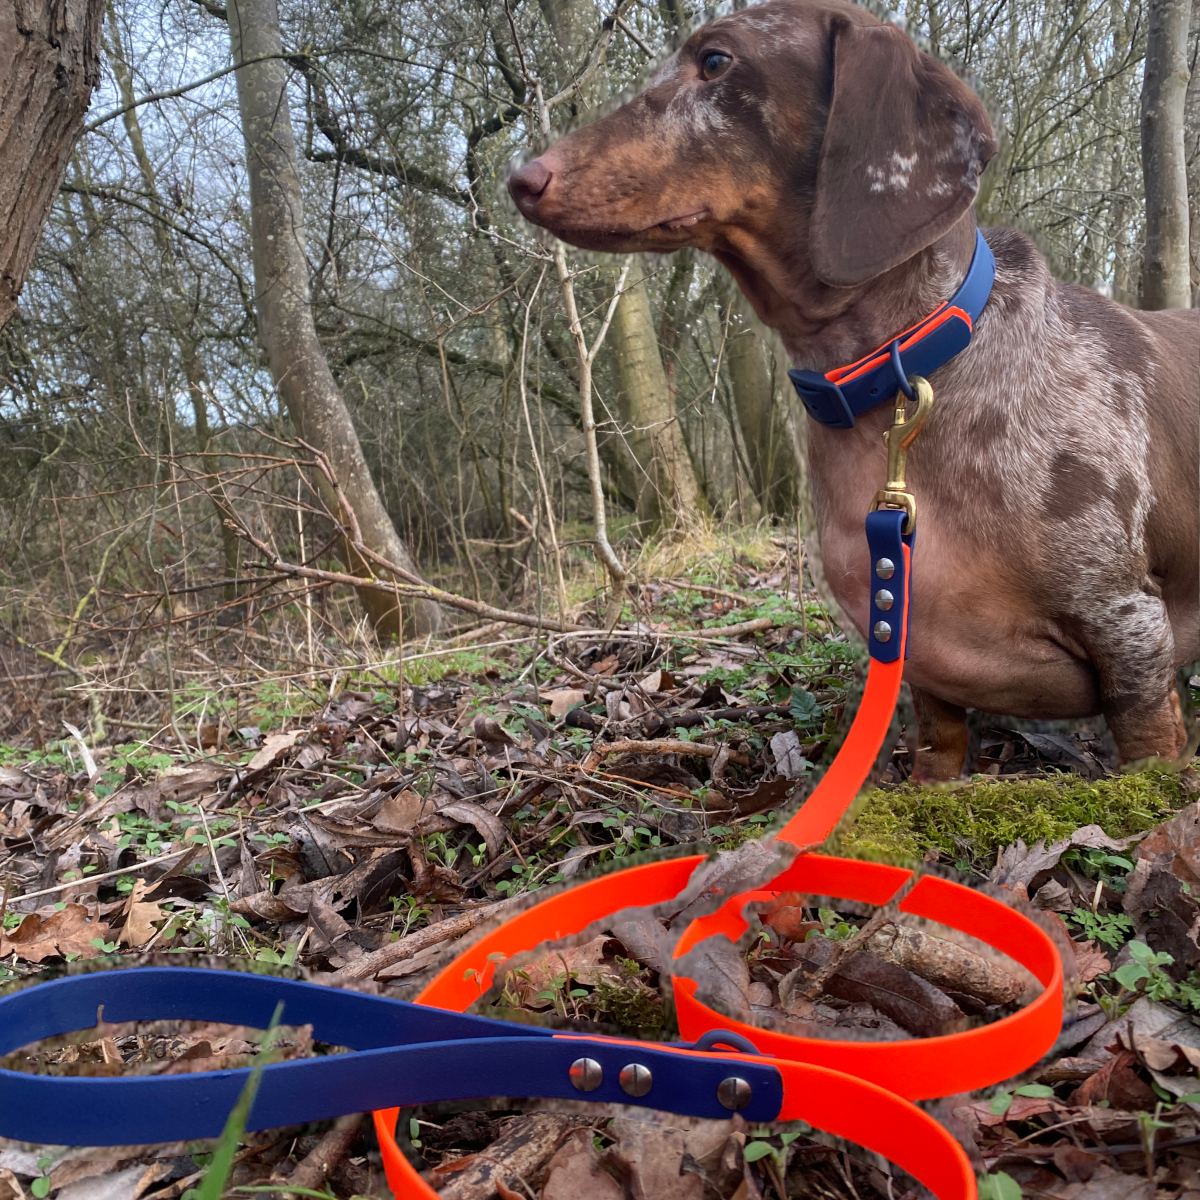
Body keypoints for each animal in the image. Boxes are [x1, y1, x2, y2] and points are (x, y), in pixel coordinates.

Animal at [511, 0, 1200, 777]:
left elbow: (1147, 746)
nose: (520, 178)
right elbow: (939, 747)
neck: (899, 376)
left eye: (715, 60)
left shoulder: (1128, 627)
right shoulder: (915, 648)